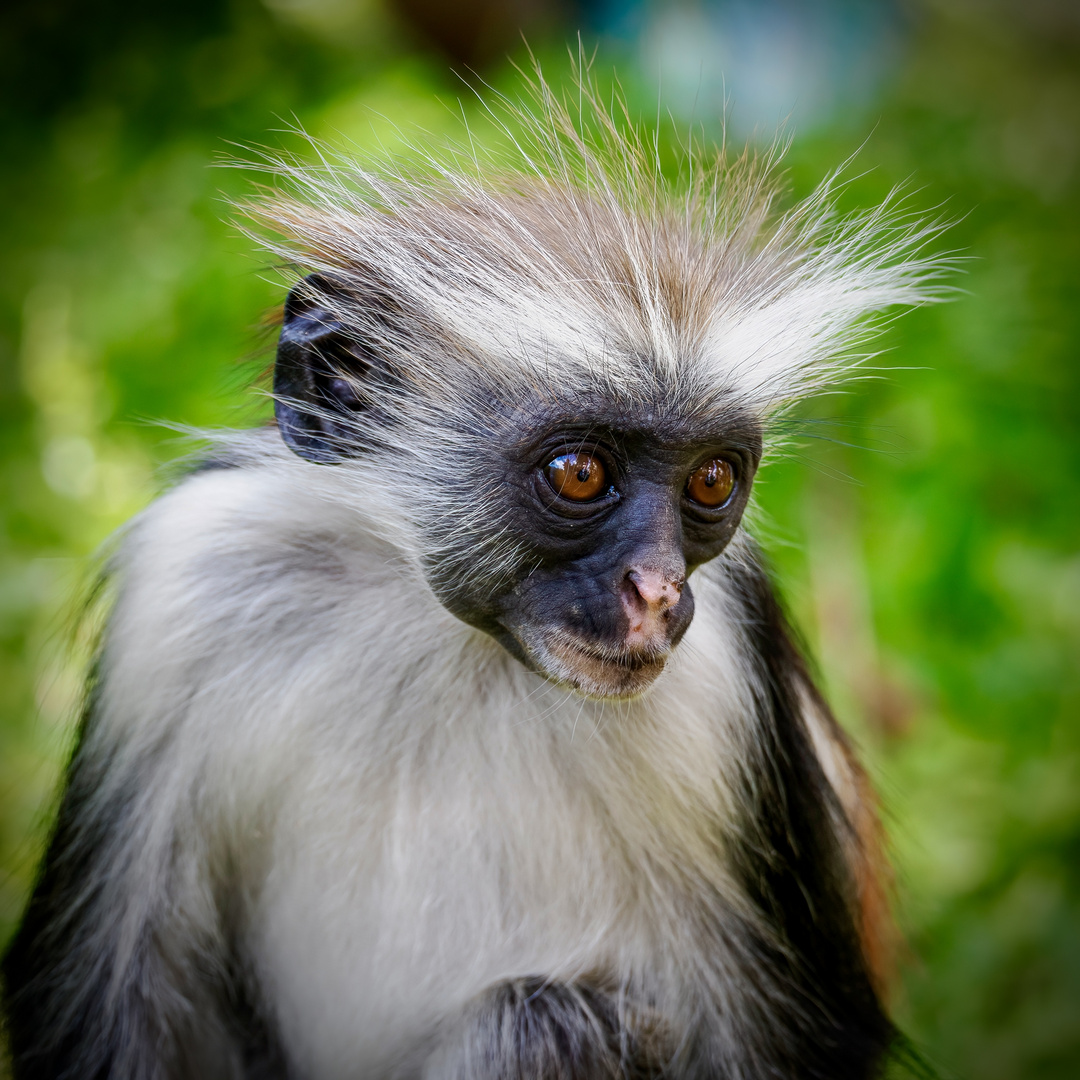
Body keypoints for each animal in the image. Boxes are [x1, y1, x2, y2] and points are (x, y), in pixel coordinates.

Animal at [0, 76, 946, 1080]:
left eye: (711, 481)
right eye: (580, 473)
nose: (656, 591)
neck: (451, 639)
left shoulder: (731, 664)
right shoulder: (187, 578)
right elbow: (115, 1015)